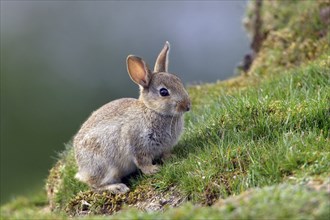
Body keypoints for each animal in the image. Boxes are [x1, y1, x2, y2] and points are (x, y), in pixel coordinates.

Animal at [73, 41, 189, 194]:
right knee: (95, 185)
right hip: (105, 166)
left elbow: (166, 154)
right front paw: (153, 170)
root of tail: (82, 170)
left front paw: (173, 158)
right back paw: (117, 187)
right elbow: (142, 162)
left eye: (178, 81)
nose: (187, 106)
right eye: (164, 92)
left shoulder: (164, 147)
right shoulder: (138, 144)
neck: (152, 110)